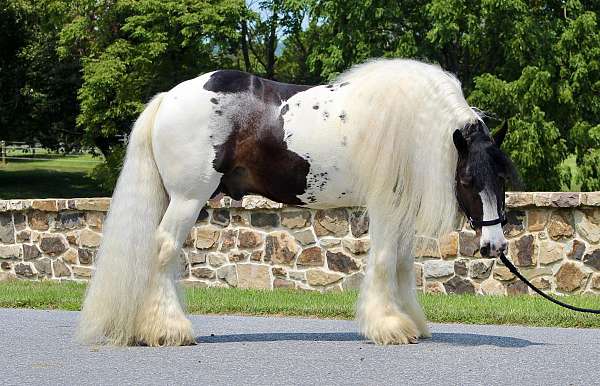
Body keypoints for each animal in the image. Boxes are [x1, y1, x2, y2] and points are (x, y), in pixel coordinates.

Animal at [76, 57, 516, 346]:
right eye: (468, 179)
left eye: (501, 177)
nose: (494, 247)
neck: (411, 126)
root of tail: (168, 98)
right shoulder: (386, 207)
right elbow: (385, 261)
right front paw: (389, 327)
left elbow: (404, 266)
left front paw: (411, 323)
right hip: (187, 199)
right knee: (164, 250)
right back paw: (170, 329)